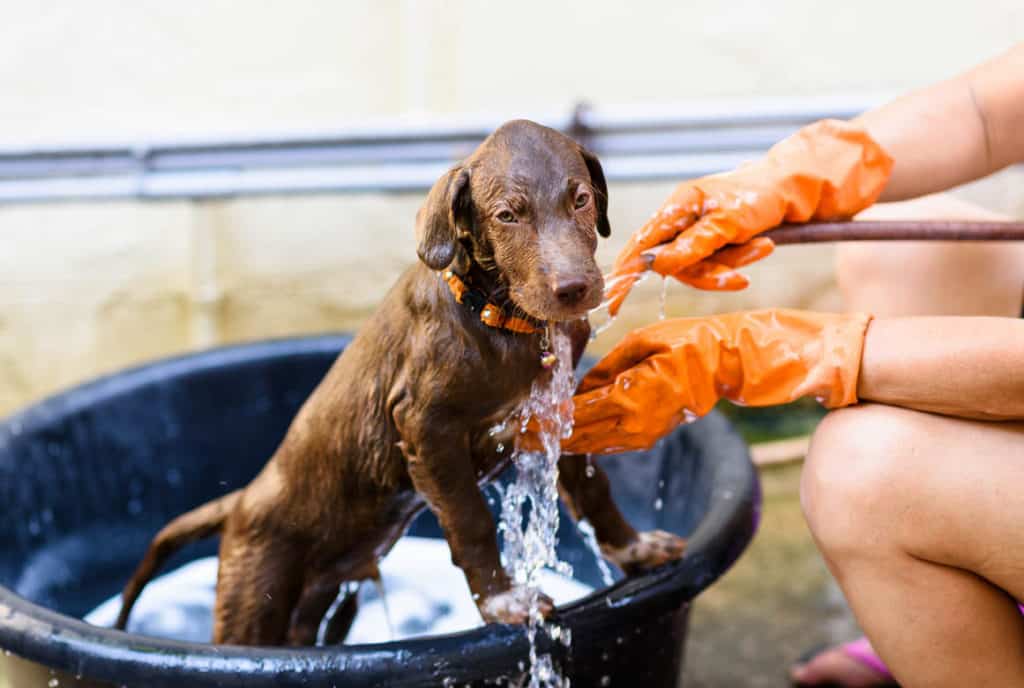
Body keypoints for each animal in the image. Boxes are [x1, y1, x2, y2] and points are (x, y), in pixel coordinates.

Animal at [116, 119, 684, 647]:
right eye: (508, 215)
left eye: (581, 199)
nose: (574, 289)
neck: (501, 321)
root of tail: (239, 502)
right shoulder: (427, 428)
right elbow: (471, 520)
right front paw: (504, 602)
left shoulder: (551, 411)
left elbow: (594, 489)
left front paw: (634, 548)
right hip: (257, 595)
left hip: (323, 603)